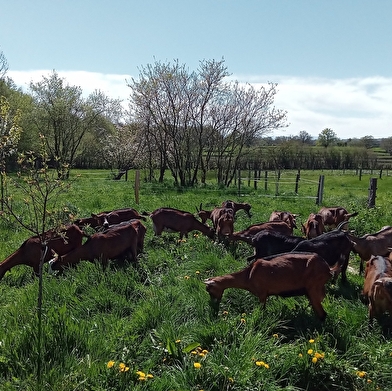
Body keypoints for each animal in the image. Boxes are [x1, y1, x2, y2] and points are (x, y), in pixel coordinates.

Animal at [205, 254, 336, 322]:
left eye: (209, 290)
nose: (213, 306)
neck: (248, 275)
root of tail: (328, 269)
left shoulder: (262, 294)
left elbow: (262, 310)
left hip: (313, 288)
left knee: (323, 314)